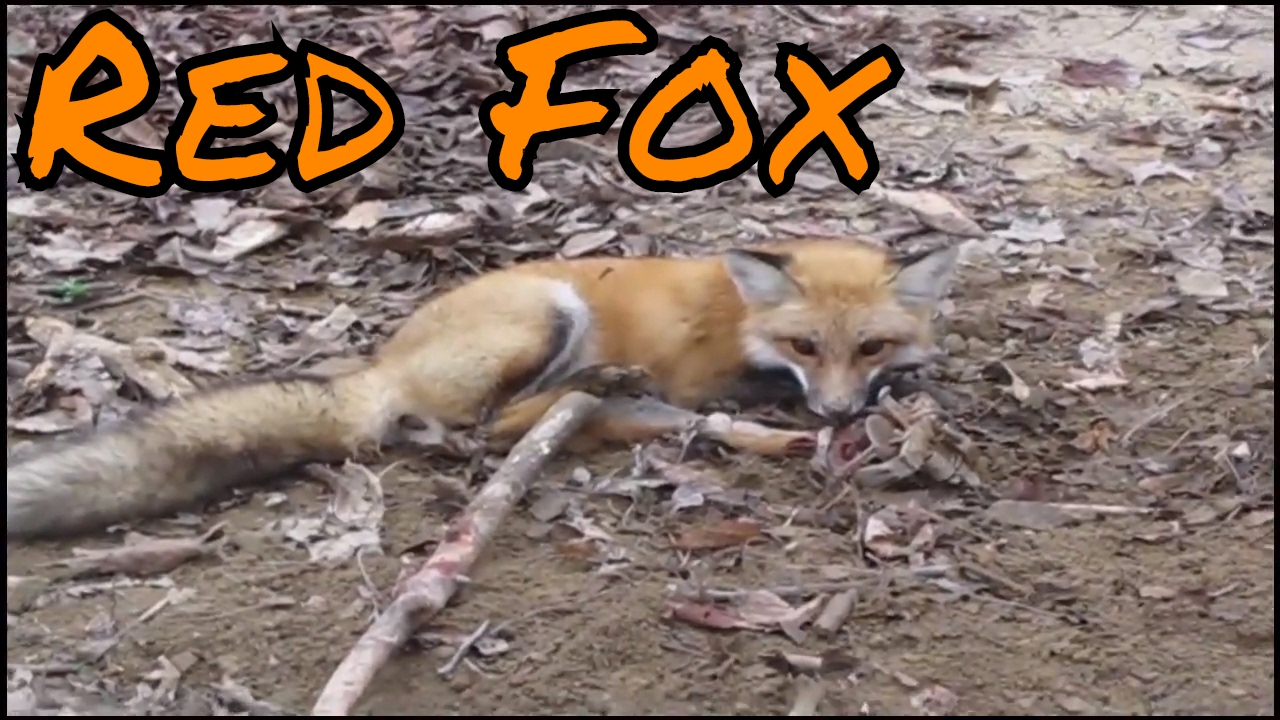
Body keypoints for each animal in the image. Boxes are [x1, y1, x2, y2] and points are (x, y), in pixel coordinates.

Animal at [6, 239, 959, 540]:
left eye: (869, 344)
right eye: (805, 344)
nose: (836, 411)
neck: (737, 314)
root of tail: (378, 365)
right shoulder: (702, 374)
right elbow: (735, 393)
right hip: (548, 316)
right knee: (480, 433)